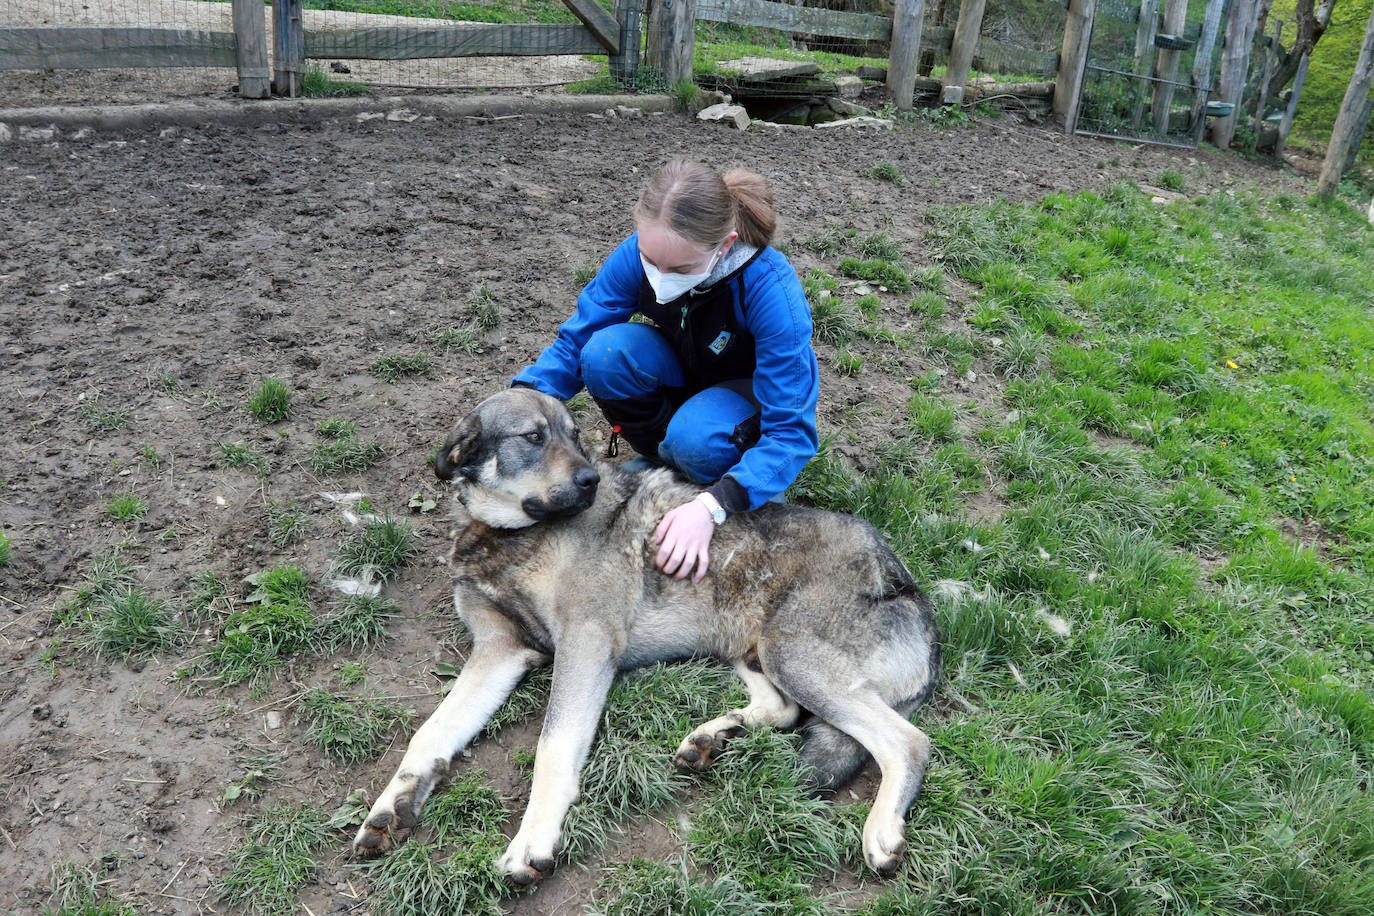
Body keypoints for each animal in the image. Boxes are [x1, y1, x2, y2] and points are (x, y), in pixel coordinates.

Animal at [351, 384, 945, 878]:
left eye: (576, 437)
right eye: (534, 437)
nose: (590, 480)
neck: (510, 534)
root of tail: (910, 587)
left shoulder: (585, 644)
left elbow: (552, 748)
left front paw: (533, 841)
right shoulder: (498, 650)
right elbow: (430, 733)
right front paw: (391, 807)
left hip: (790, 652)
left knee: (908, 742)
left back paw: (881, 831)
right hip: (749, 648)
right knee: (784, 711)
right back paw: (715, 737)